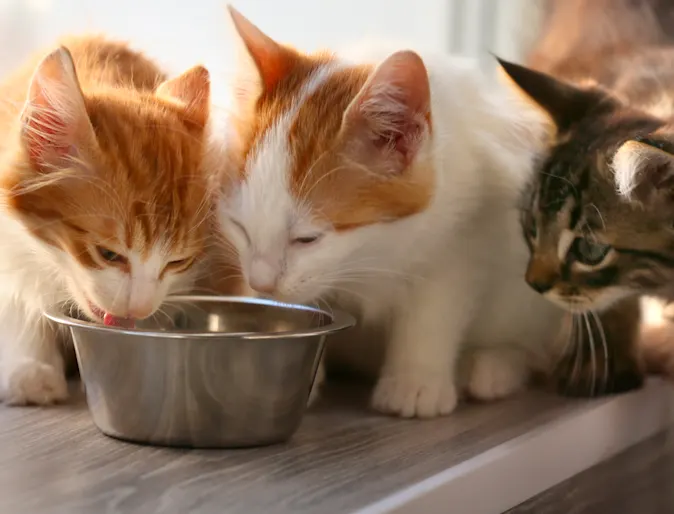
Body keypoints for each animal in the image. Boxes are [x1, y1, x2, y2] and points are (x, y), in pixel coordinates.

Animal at [214, 11, 560, 416]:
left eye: (308, 239)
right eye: (240, 227)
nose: (261, 283)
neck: (372, 253)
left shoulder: (468, 228)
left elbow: (435, 303)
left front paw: (417, 381)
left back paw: (492, 366)